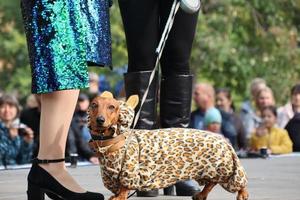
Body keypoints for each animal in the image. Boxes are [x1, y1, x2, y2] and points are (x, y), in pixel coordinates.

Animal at [88, 92, 248, 200]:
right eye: (94, 105)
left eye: (112, 107)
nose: (100, 120)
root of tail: (223, 140)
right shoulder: (110, 173)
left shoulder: (129, 171)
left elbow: (123, 188)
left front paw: (119, 196)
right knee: (211, 183)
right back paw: (201, 195)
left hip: (224, 167)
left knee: (238, 181)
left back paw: (242, 194)